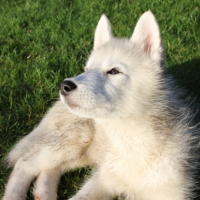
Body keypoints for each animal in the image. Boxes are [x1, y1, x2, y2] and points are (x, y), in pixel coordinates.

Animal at [2, 10, 199, 200]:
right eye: (87, 69)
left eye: (114, 71)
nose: (64, 86)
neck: (129, 142)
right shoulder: (103, 179)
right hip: (75, 139)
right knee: (24, 162)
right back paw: (14, 195)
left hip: (83, 153)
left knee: (50, 168)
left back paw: (44, 194)